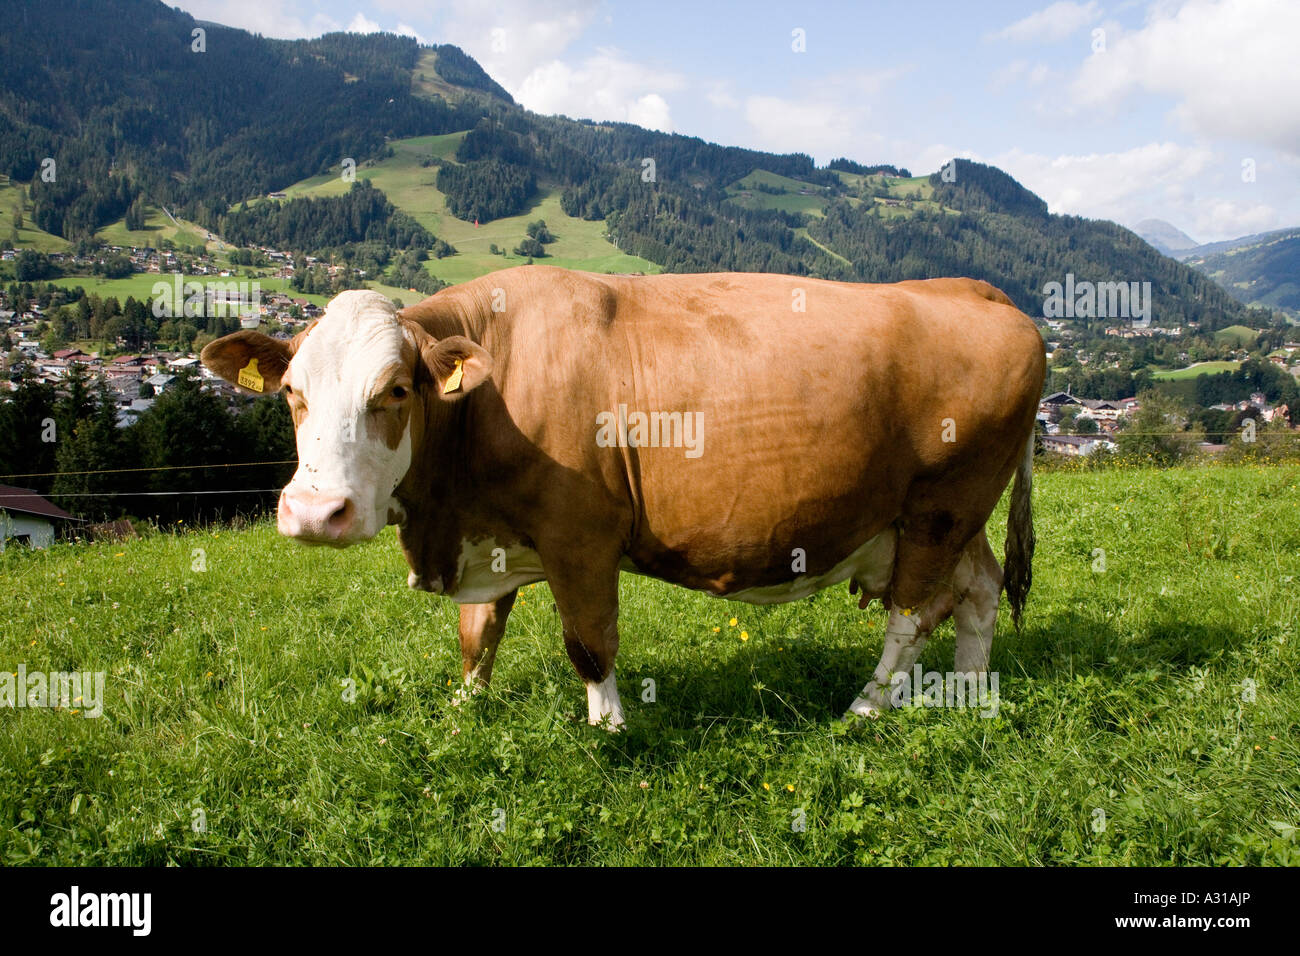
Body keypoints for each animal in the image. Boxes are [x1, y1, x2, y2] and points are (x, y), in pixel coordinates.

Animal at [201, 266, 1045, 729]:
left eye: (397, 390)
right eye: (291, 393)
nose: (316, 514)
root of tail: (980, 291)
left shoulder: (580, 534)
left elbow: (588, 640)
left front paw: (609, 725)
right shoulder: (490, 532)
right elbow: (479, 635)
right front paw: (464, 708)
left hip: (941, 505)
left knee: (913, 615)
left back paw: (867, 708)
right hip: (947, 519)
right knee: (978, 593)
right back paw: (972, 691)